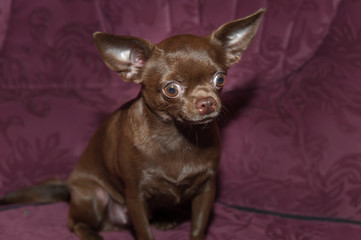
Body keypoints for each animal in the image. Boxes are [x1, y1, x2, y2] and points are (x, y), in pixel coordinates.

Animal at [0, 8, 264, 240]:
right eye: (171, 89)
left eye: (220, 79)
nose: (207, 102)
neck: (178, 137)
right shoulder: (135, 195)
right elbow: (144, 230)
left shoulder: (206, 190)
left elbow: (198, 227)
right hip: (93, 195)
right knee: (74, 222)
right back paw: (92, 234)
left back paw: (165, 219)